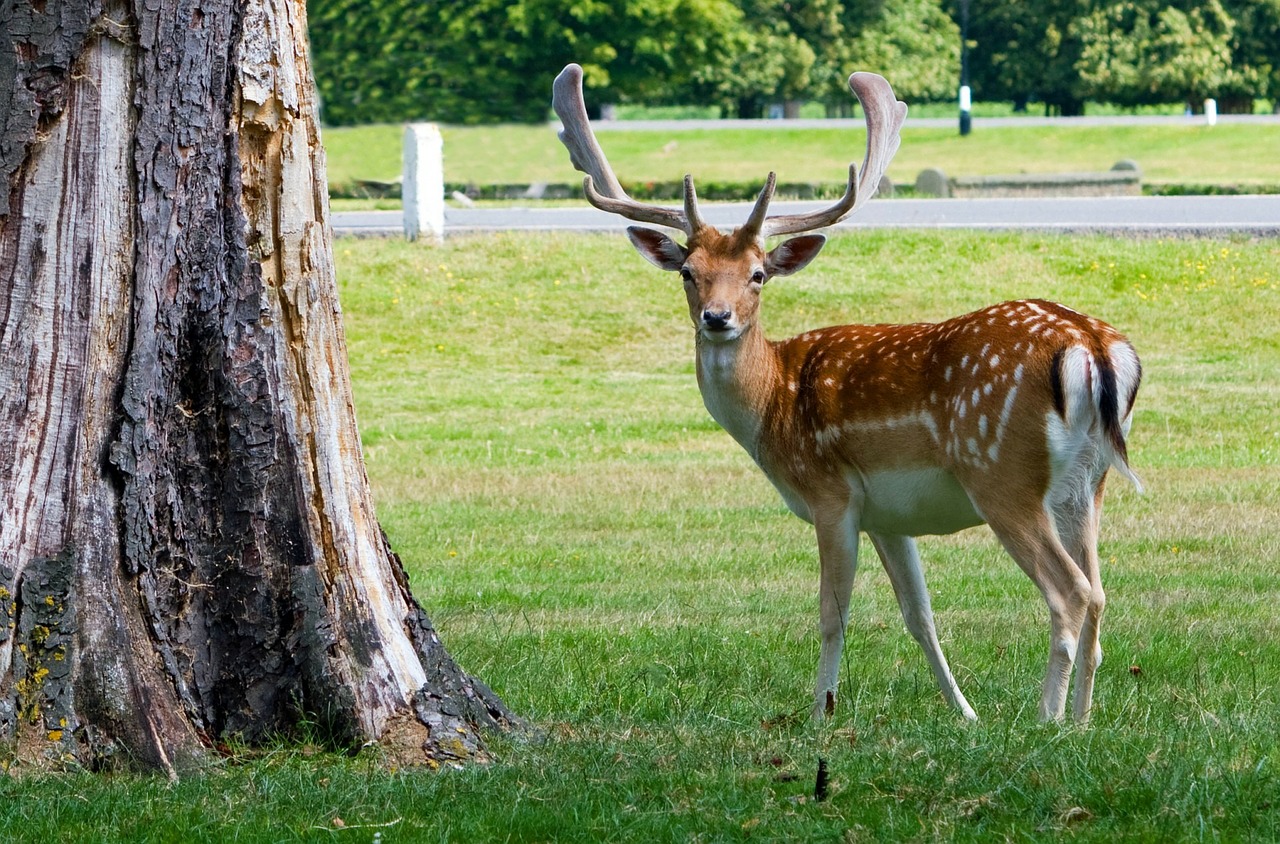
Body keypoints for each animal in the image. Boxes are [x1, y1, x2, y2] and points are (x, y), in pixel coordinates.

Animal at [550, 62, 1141, 722]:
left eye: (759, 274)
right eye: (687, 272)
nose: (717, 317)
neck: (772, 407)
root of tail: (1092, 346)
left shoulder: (830, 492)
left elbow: (832, 615)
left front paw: (819, 714)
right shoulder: (887, 515)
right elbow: (919, 615)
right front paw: (963, 714)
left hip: (1000, 472)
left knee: (1071, 592)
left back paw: (1046, 719)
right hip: (1087, 481)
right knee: (1101, 593)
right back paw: (1082, 722)